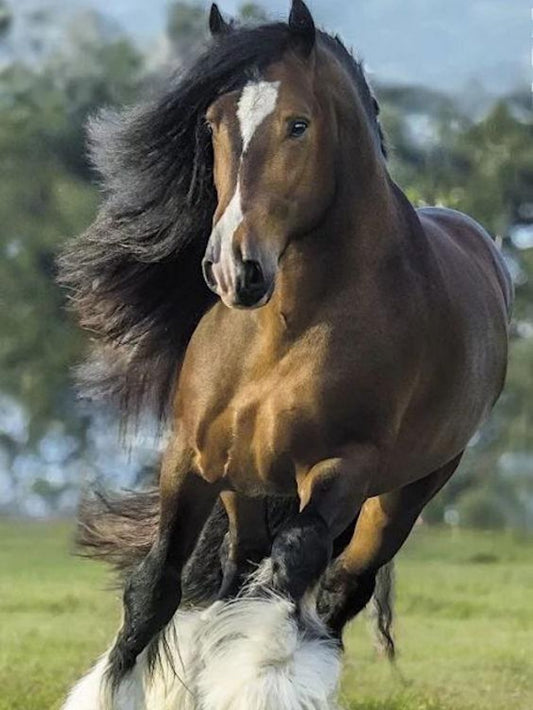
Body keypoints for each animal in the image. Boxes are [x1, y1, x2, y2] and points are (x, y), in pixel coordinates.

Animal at [59, 1, 513, 706]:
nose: (231, 268)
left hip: (401, 496)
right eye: (213, 123)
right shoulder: (192, 461)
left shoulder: (339, 470)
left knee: (333, 593)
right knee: (237, 572)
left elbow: (284, 590)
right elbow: (154, 590)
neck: (279, 338)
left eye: (298, 124)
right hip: (244, 485)